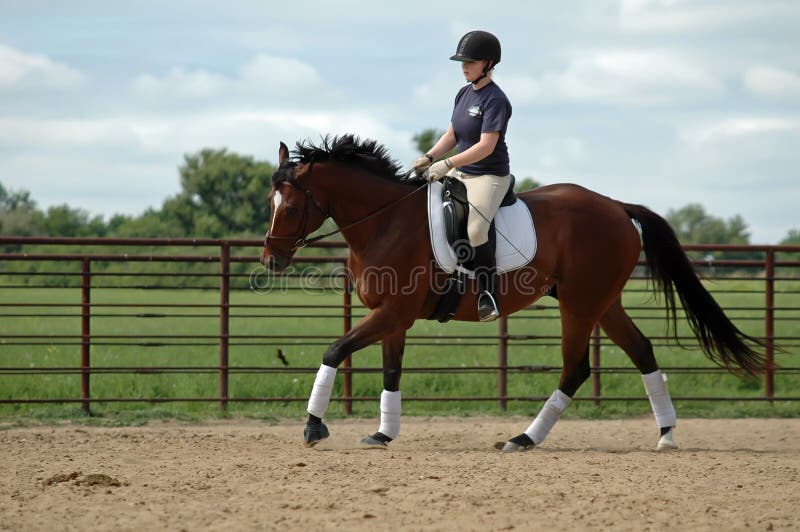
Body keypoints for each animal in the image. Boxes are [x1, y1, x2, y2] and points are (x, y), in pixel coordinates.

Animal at [260, 135, 764, 450]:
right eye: (270, 203)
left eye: (291, 207)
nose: (271, 261)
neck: (385, 221)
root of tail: (617, 206)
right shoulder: (394, 319)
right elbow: (391, 374)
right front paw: (383, 434)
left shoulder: (391, 313)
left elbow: (334, 349)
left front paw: (313, 427)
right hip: (603, 303)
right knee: (642, 351)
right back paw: (666, 434)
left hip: (580, 306)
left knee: (576, 369)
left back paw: (524, 438)